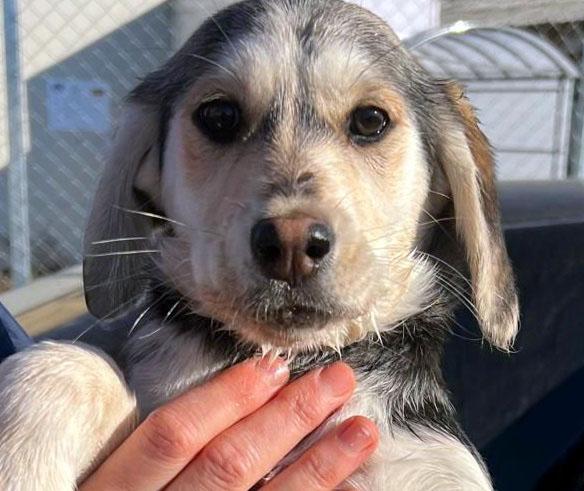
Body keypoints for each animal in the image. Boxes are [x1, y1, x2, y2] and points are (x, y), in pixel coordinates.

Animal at [0, 0, 519, 488]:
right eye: (219, 116)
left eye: (371, 121)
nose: (291, 244)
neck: (291, 358)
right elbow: (67, 363)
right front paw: (18, 465)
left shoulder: (430, 462)